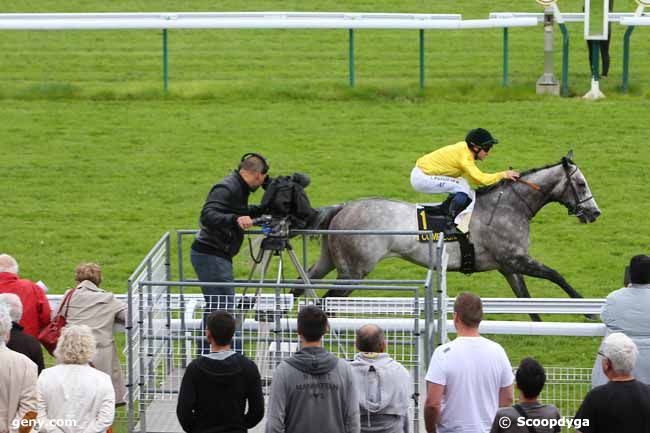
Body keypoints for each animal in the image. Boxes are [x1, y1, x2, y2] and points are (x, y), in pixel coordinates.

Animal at [306, 151, 600, 318]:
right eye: (581, 183)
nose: (594, 213)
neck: (510, 206)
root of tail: (344, 207)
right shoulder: (516, 259)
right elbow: (555, 274)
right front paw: (586, 310)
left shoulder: (508, 266)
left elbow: (527, 303)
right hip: (354, 272)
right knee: (326, 302)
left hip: (330, 263)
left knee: (303, 285)